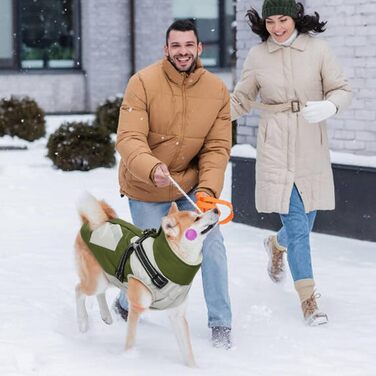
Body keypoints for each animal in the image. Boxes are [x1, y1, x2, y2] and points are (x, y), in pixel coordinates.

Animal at [74, 192, 219, 366]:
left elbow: (187, 351)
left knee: (99, 293)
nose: (216, 209)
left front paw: (193, 368)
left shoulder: (177, 314)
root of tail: (94, 222)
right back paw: (82, 322)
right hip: (97, 281)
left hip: (108, 277)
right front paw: (128, 357)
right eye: (196, 218)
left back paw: (106, 316)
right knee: (78, 290)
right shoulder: (136, 307)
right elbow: (131, 340)